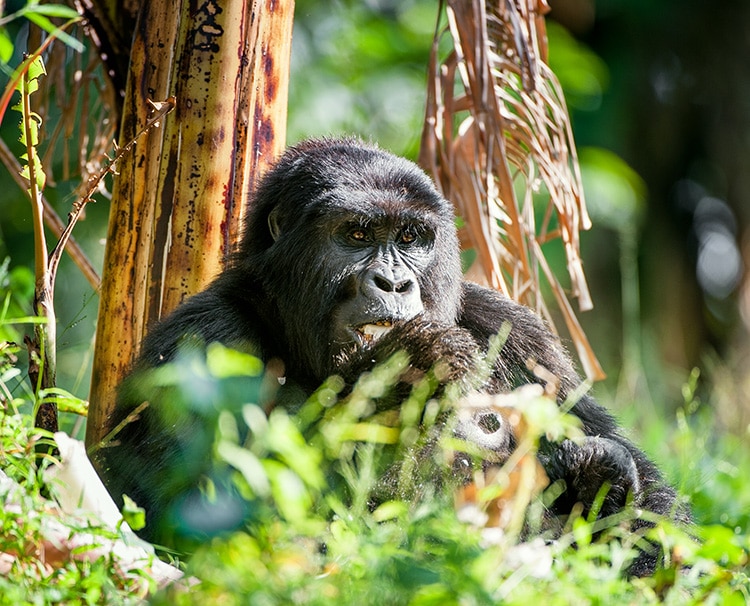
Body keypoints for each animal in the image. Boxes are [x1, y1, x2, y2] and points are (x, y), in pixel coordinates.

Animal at [98, 137, 692, 576]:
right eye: (357, 234)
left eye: (411, 237)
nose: (394, 282)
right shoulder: (200, 341)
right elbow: (194, 509)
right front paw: (402, 373)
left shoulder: (517, 330)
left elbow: (663, 519)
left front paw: (603, 481)